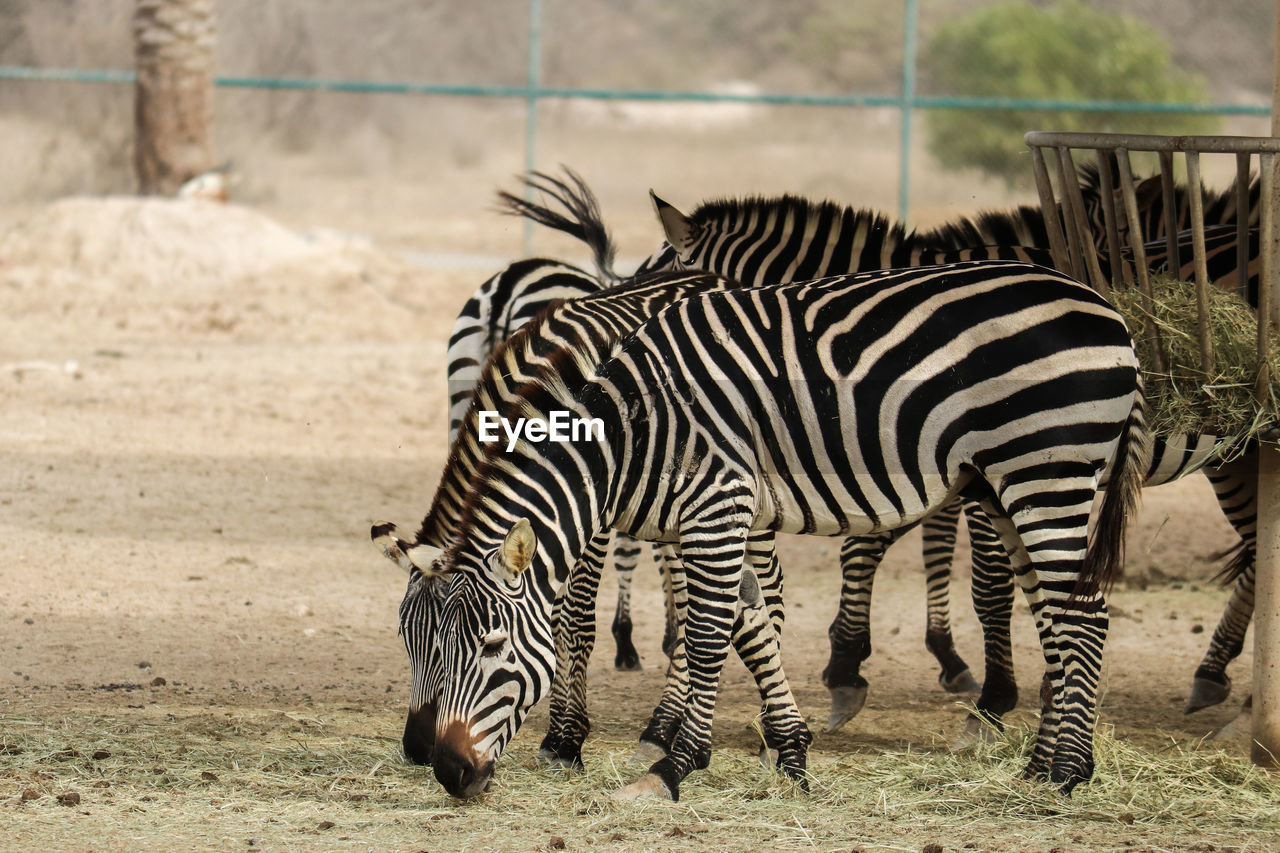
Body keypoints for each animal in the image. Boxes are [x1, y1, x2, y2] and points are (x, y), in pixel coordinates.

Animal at [376, 258, 1152, 799]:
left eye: (492, 647)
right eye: (412, 645)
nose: (441, 768)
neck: (623, 434)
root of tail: (1108, 310)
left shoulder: (708, 506)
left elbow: (695, 629)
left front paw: (664, 762)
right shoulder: (711, 515)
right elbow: (749, 624)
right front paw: (790, 752)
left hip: (1048, 469)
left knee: (1082, 615)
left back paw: (1068, 772)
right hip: (1003, 485)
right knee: (1052, 615)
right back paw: (1039, 764)